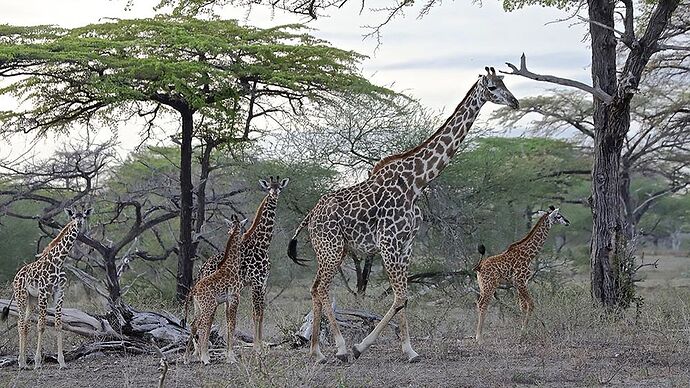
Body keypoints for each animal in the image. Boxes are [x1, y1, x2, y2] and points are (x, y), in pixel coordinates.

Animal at [184, 215, 246, 364]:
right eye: (242, 227)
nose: (243, 235)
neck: (231, 264)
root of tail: (194, 290)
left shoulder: (227, 301)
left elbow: (228, 323)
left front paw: (229, 356)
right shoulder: (235, 297)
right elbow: (232, 324)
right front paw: (231, 357)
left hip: (199, 307)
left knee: (194, 324)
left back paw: (187, 357)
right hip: (209, 306)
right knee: (202, 326)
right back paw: (204, 358)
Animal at [288, 67, 520, 364]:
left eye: (505, 83)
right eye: (492, 87)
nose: (514, 102)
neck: (416, 182)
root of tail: (309, 216)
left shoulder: (406, 244)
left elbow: (405, 298)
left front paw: (410, 350)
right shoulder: (389, 243)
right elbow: (400, 298)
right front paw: (361, 347)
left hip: (334, 250)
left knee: (315, 288)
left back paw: (317, 352)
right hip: (331, 248)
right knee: (321, 289)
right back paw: (339, 348)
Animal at [472, 206, 564, 342]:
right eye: (558, 216)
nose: (567, 222)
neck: (529, 254)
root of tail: (479, 266)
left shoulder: (519, 283)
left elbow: (523, 306)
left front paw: (526, 331)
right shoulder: (520, 281)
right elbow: (531, 304)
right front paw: (524, 332)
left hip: (483, 286)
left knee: (479, 303)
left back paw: (479, 335)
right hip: (489, 285)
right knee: (483, 304)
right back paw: (479, 338)